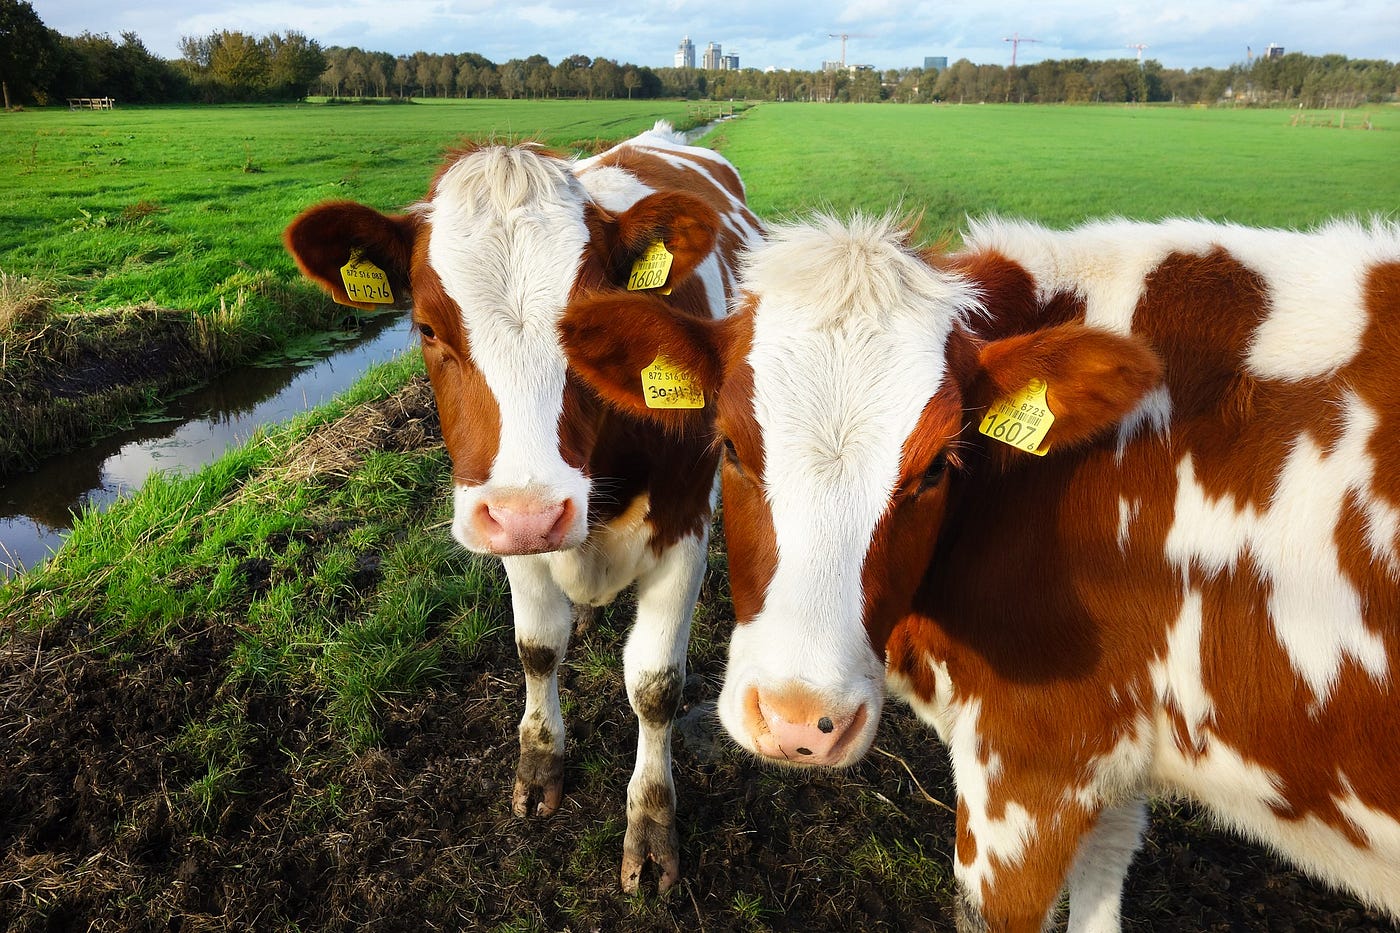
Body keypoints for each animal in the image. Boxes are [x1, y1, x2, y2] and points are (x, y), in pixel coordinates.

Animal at [283, 122, 763, 892]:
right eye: (426, 327)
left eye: (592, 326)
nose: (533, 518)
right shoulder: (505, 522)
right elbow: (537, 647)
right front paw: (539, 764)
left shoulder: (685, 525)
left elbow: (655, 686)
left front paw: (651, 824)